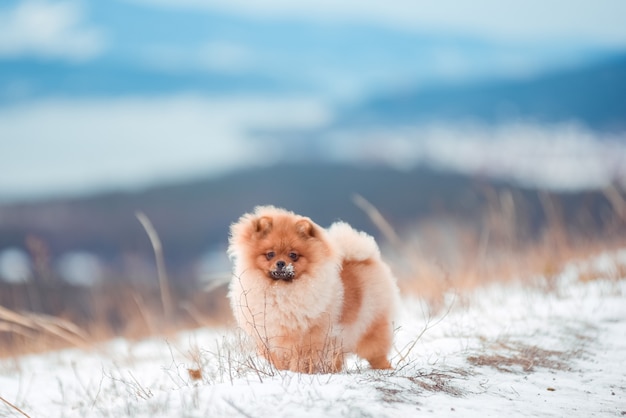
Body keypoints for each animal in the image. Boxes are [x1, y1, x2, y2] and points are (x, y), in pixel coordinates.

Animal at [227, 206, 398, 372]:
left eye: (293, 255)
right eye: (270, 254)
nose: (281, 263)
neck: (281, 291)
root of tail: (366, 258)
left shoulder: (307, 337)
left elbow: (300, 359)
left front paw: (297, 373)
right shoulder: (269, 337)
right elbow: (278, 359)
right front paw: (283, 373)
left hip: (371, 327)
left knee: (376, 352)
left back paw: (384, 368)